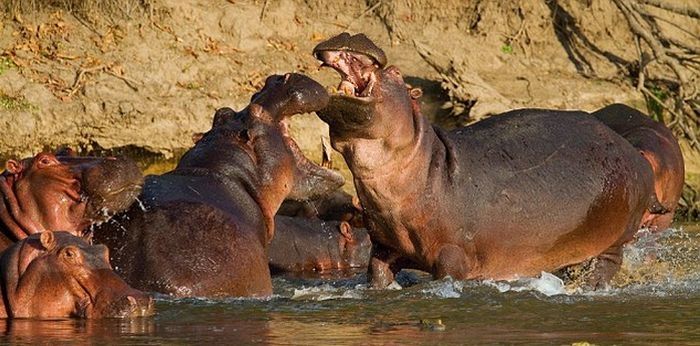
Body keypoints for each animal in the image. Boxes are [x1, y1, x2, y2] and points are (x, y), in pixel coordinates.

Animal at [314, 32, 660, 288]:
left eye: (398, 74)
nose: (352, 34)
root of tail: (636, 154)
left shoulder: (452, 256)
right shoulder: (384, 250)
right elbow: (377, 276)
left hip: (616, 236)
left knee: (609, 262)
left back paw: (590, 284)